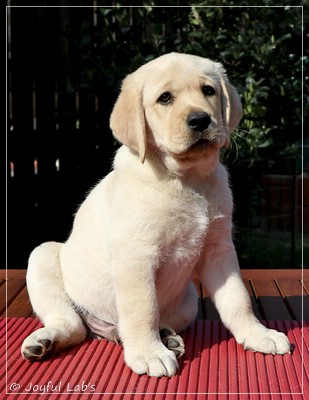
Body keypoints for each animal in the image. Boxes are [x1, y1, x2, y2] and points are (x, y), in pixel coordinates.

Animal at [21, 52, 288, 376]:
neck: (186, 179)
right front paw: (149, 354)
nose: (200, 120)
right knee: (72, 325)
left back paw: (166, 336)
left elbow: (238, 299)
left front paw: (258, 334)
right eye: (165, 98)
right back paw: (46, 340)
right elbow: (143, 308)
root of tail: (102, 328)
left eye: (208, 90)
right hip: (43, 257)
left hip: (188, 301)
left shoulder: (219, 249)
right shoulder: (137, 257)